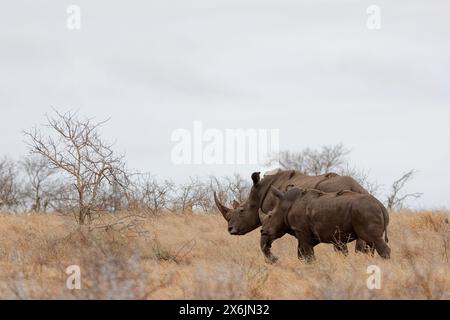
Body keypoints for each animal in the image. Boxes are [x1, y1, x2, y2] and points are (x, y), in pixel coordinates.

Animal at [260, 188, 390, 262]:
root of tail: (381, 206)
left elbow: (308, 254)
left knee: (374, 240)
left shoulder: (301, 230)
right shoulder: (310, 233)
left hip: (365, 210)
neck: (286, 204)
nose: (263, 231)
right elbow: (301, 254)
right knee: (370, 245)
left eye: (270, 216)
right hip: (367, 210)